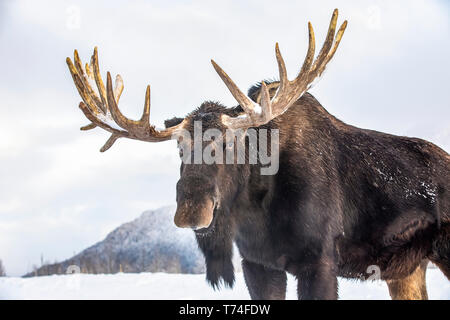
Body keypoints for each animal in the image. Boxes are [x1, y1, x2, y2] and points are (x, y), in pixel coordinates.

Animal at [67, 10, 450, 300]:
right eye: (178, 148)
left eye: (229, 143)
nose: (191, 210)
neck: (258, 210)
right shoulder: (258, 265)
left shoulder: (320, 262)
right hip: (406, 269)